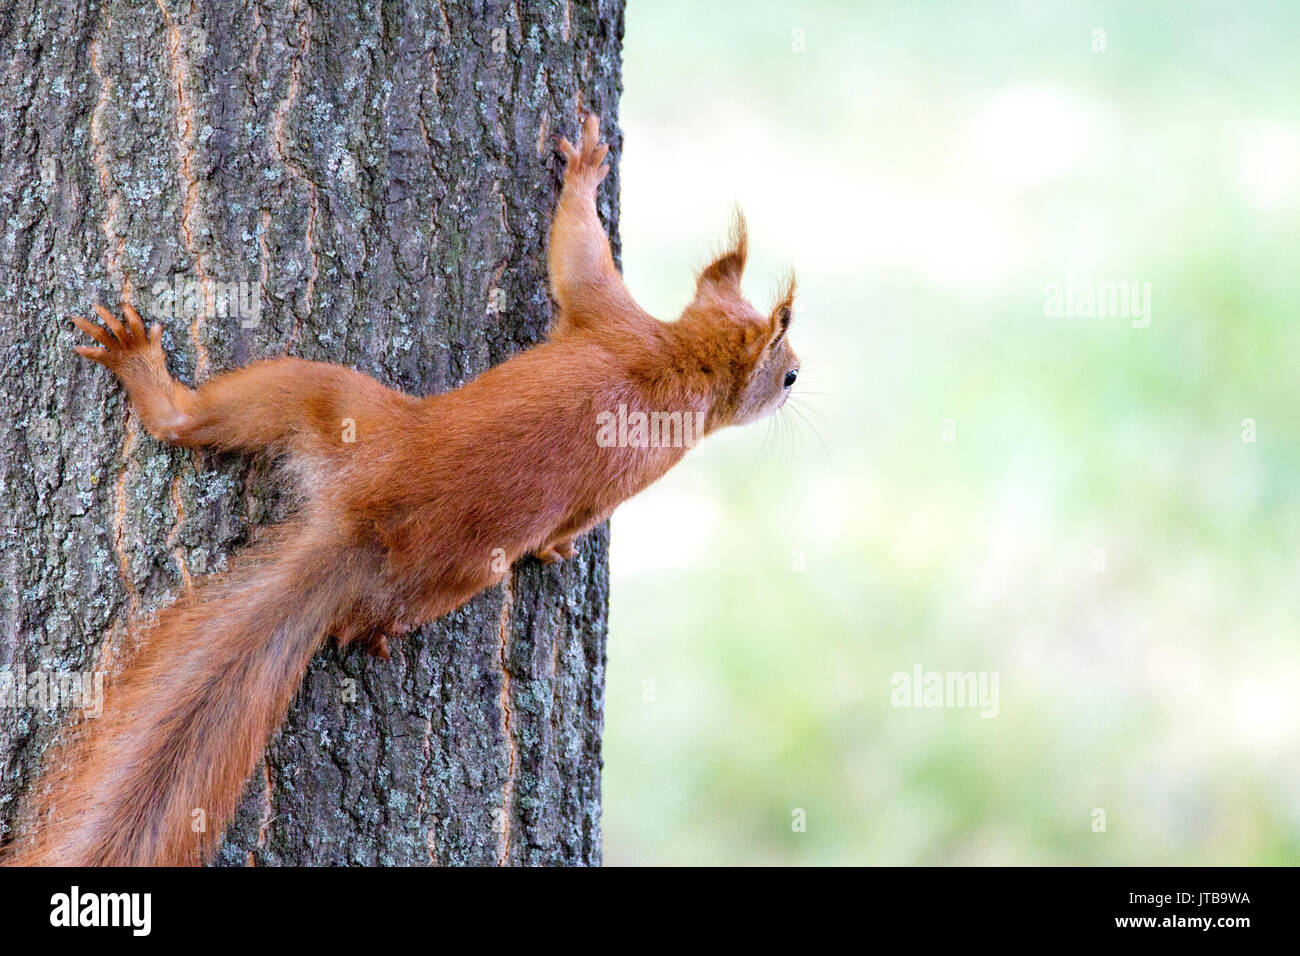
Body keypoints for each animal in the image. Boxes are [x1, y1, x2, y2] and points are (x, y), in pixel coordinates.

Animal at [7, 113, 800, 868]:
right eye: (788, 371)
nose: (799, 382)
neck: (680, 361)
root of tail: (364, 519)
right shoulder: (615, 323)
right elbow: (578, 255)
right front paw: (586, 169)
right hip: (350, 417)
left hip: (342, 423)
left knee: (207, 432)